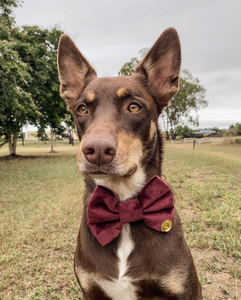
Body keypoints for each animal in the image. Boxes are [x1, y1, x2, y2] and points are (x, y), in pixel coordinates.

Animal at [57, 27, 202, 300]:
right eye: (81, 109)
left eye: (134, 107)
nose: (97, 151)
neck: (123, 204)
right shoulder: (91, 290)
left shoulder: (184, 290)